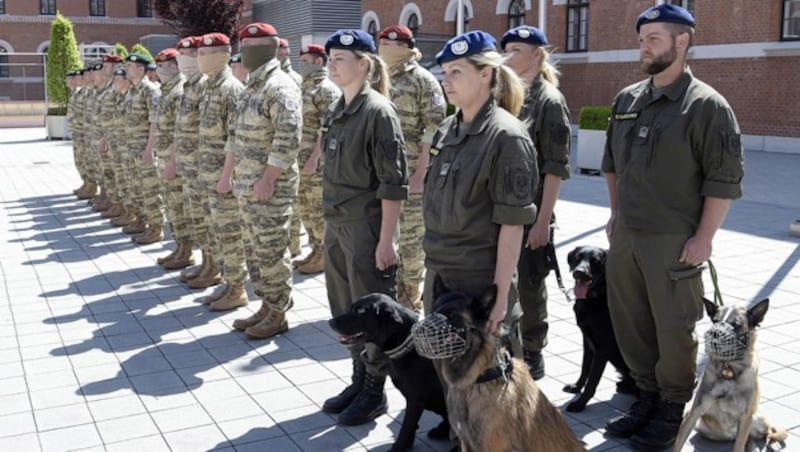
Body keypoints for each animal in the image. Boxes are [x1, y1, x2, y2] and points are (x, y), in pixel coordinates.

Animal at [326, 294, 450, 450]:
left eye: (360, 311)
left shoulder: (415, 399)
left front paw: (398, 447)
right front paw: (407, 444)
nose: (330, 322)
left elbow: (406, 426)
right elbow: (411, 427)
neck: (410, 346)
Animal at [564, 245, 636, 412]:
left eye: (596, 261)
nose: (579, 272)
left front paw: (580, 403)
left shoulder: (603, 347)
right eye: (578, 257)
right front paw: (576, 387)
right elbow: (585, 367)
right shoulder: (587, 341)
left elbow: (593, 380)